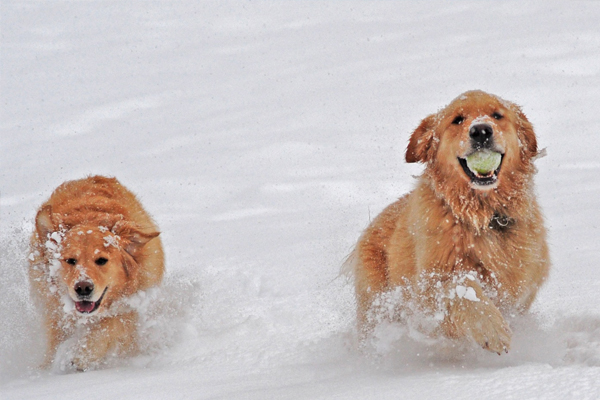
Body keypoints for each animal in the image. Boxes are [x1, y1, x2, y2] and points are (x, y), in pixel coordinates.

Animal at [29, 177, 163, 370]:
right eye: (71, 260)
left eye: (101, 260)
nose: (83, 288)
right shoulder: (54, 311)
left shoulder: (132, 303)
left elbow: (110, 325)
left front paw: (83, 354)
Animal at [350, 90, 552, 354]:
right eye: (457, 119)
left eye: (497, 115)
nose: (481, 131)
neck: (481, 217)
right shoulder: (427, 288)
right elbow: (462, 287)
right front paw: (491, 328)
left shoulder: (522, 285)